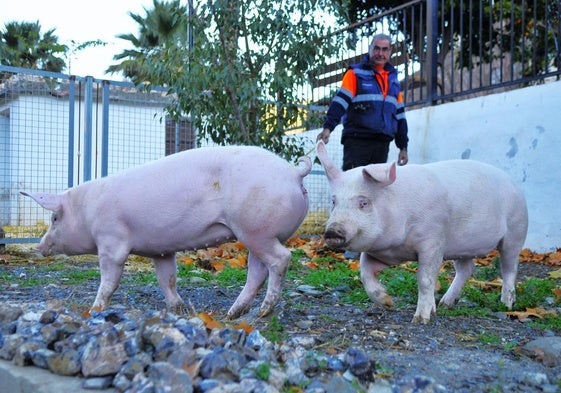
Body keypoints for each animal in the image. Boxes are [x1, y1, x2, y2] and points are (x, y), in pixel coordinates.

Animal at [21, 144, 310, 318]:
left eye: (55, 218)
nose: (38, 247)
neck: (86, 211)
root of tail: (294, 172)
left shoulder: (111, 241)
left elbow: (109, 280)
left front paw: (95, 310)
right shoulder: (160, 251)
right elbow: (166, 279)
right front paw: (177, 310)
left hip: (256, 229)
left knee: (281, 259)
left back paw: (263, 311)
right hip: (257, 234)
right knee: (258, 270)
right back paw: (233, 313)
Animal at [318, 140, 528, 322]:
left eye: (364, 203)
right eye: (334, 201)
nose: (333, 231)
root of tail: (514, 184)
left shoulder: (433, 241)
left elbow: (425, 279)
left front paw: (421, 319)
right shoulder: (383, 253)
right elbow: (365, 273)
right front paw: (388, 303)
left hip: (516, 230)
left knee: (509, 268)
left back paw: (507, 305)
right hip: (462, 247)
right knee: (466, 269)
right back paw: (445, 304)